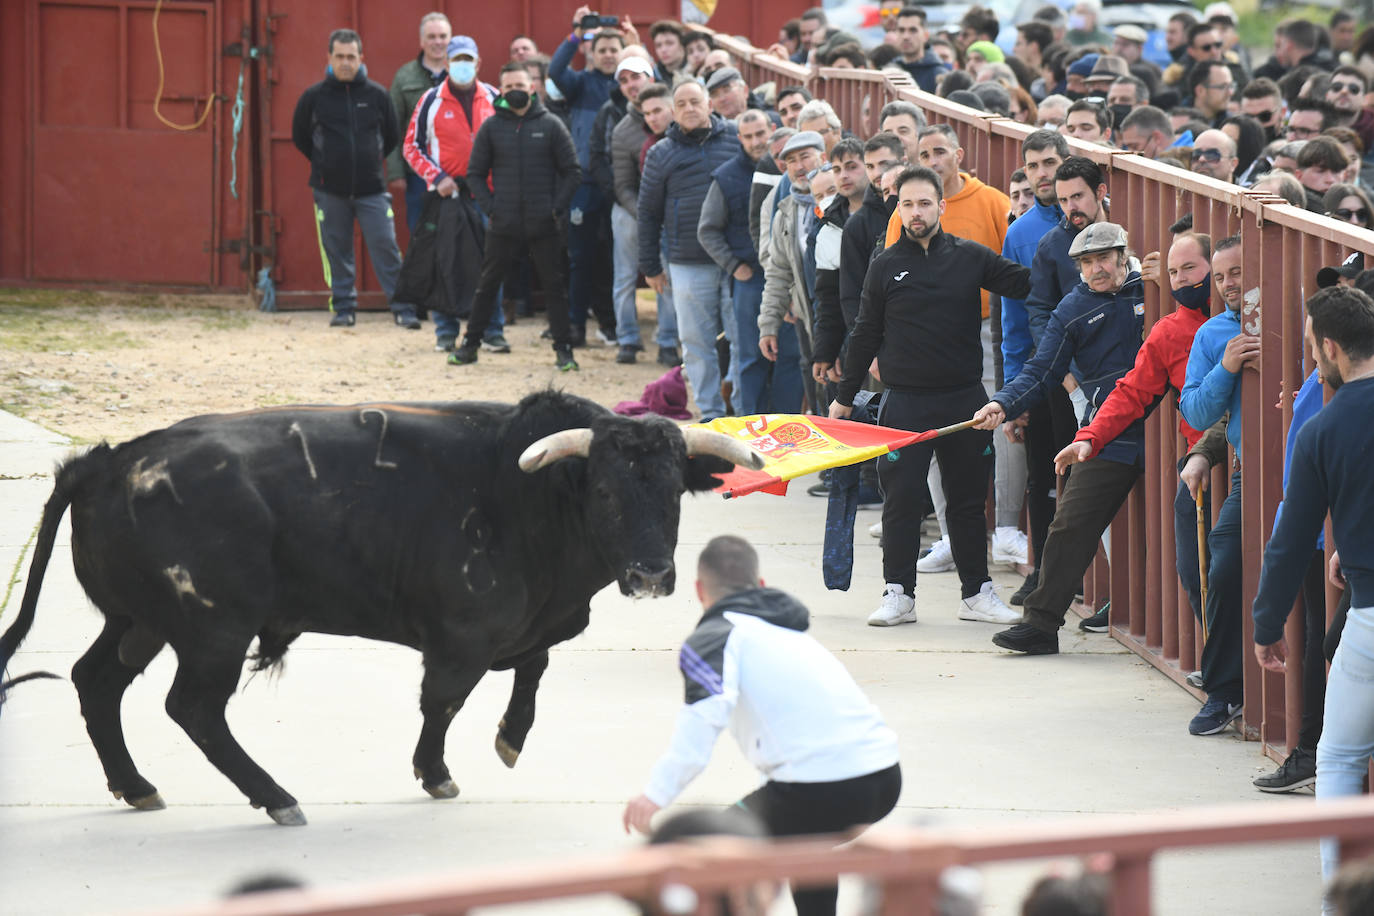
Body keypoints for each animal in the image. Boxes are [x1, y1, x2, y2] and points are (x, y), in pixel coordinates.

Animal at [0, 390, 763, 829]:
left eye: (673, 492)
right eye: (605, 491)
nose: (650, 574)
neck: (526, 498)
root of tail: (103, 463)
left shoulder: (522, 627)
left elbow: (533, 667)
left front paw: (510, 738)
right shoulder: (462, 635)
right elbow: (444, 702)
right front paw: (437, 773)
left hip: (138, 622)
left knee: (97, 681)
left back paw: (135, 786)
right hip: (215, 629)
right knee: (193, 708)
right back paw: (276, 797)